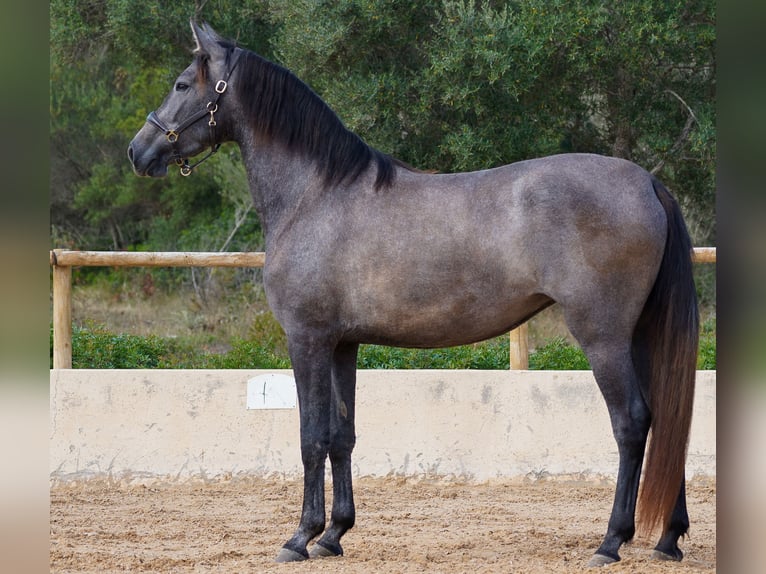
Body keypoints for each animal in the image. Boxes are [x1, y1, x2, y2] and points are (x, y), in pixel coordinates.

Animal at [129, 21, 700, 568]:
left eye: (182, 84)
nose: (138, 151)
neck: (315, 195)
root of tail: (648, 184)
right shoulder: (343, 344)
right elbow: (342, 436)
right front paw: (334, 535)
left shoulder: (307, 339)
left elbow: (312, 438)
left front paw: (299, 537)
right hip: (639, 335)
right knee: (668, 417)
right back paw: (668, 539)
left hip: (603, 336)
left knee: (632, 423)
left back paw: (611, 541)